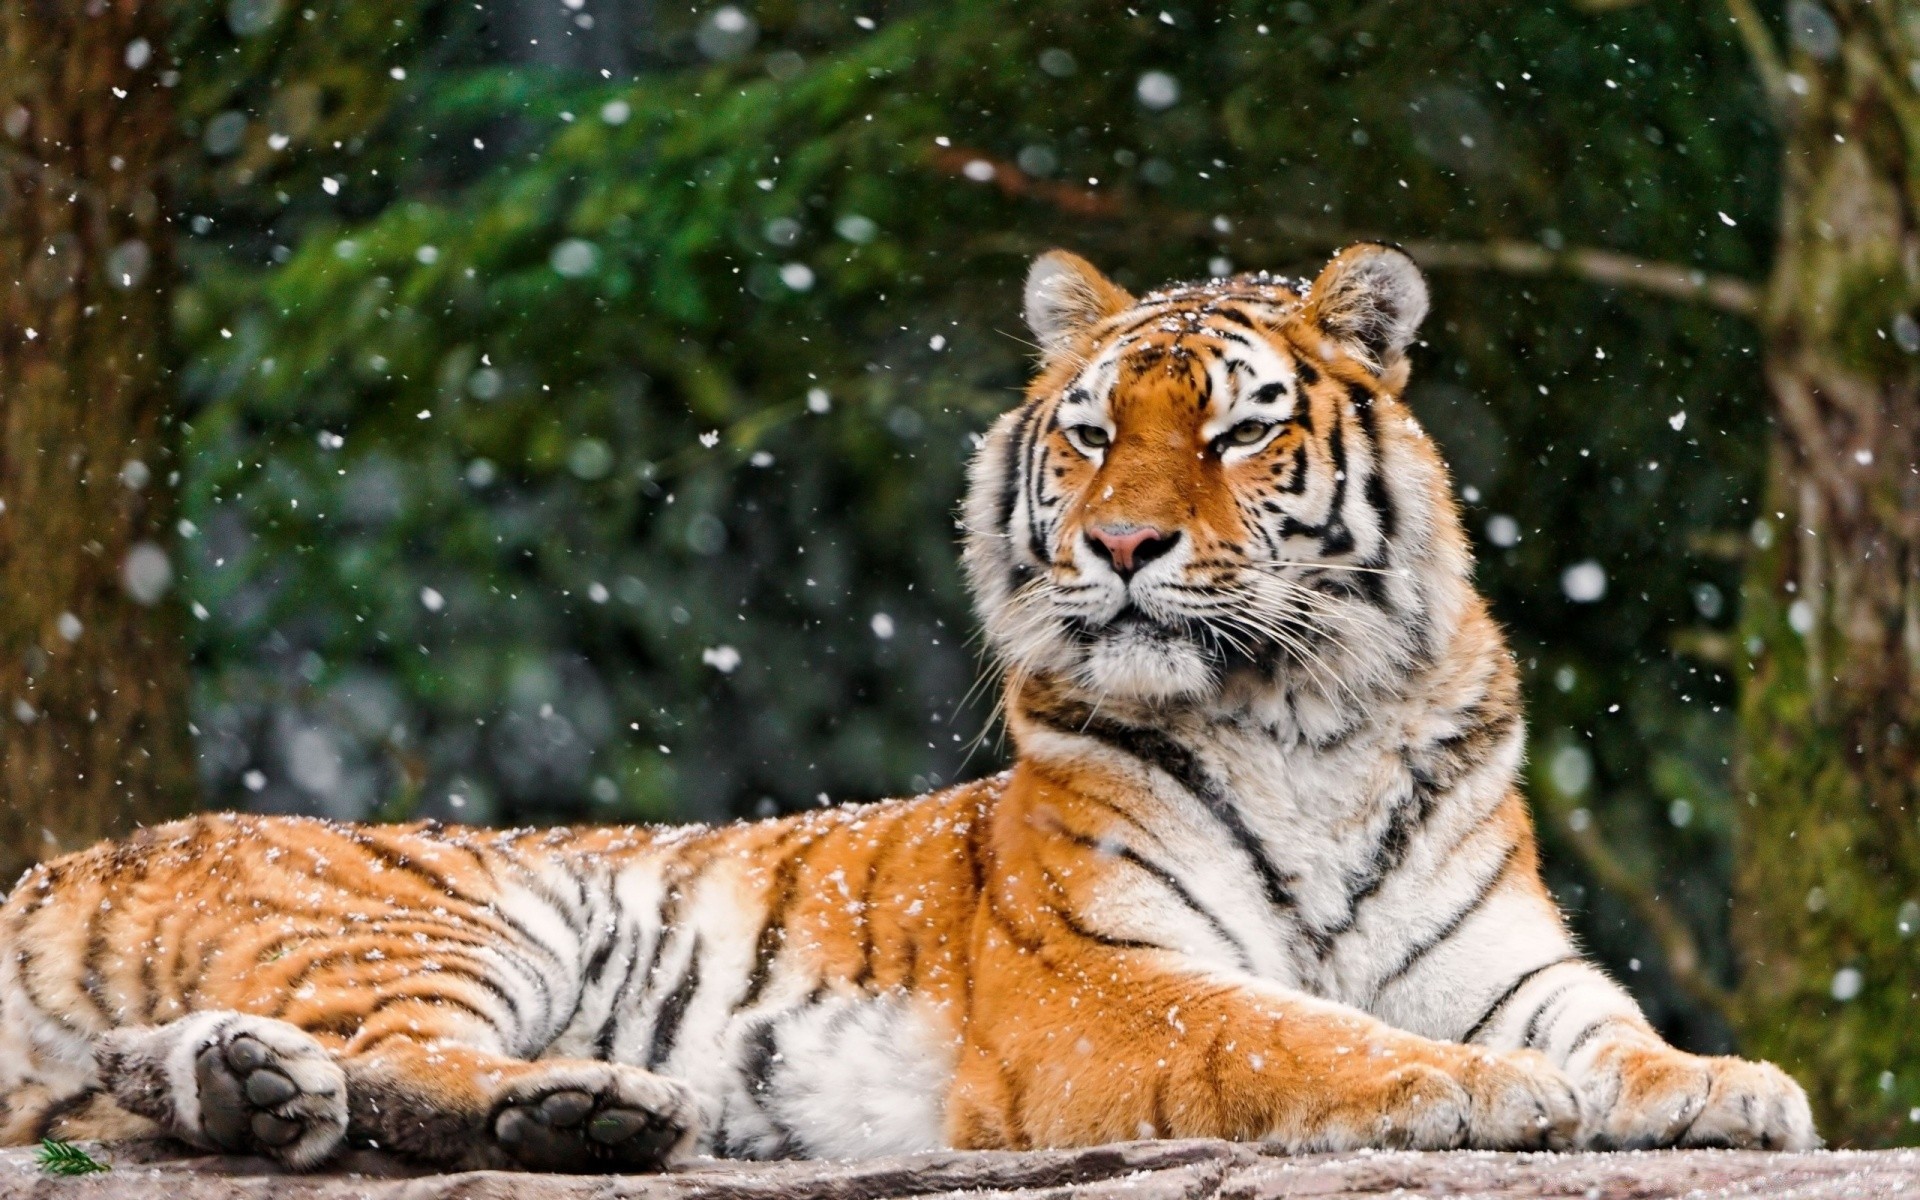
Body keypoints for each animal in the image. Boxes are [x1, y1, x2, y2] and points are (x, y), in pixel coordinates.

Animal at [0, 245, 1816, 1173]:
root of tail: (65, 860)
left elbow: (1612, 1028)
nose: (1124, 546)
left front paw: (1728, 1085)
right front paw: (1478, 1091)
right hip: (445, 912)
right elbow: (1298, 1032)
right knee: (394, 1066)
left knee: (223, 1077)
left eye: (1237, 432)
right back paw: (582, 1105)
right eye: (1091, 431)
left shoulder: (1505, 955)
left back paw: (282, 1093)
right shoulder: (1108, 980)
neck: (1309, 717)